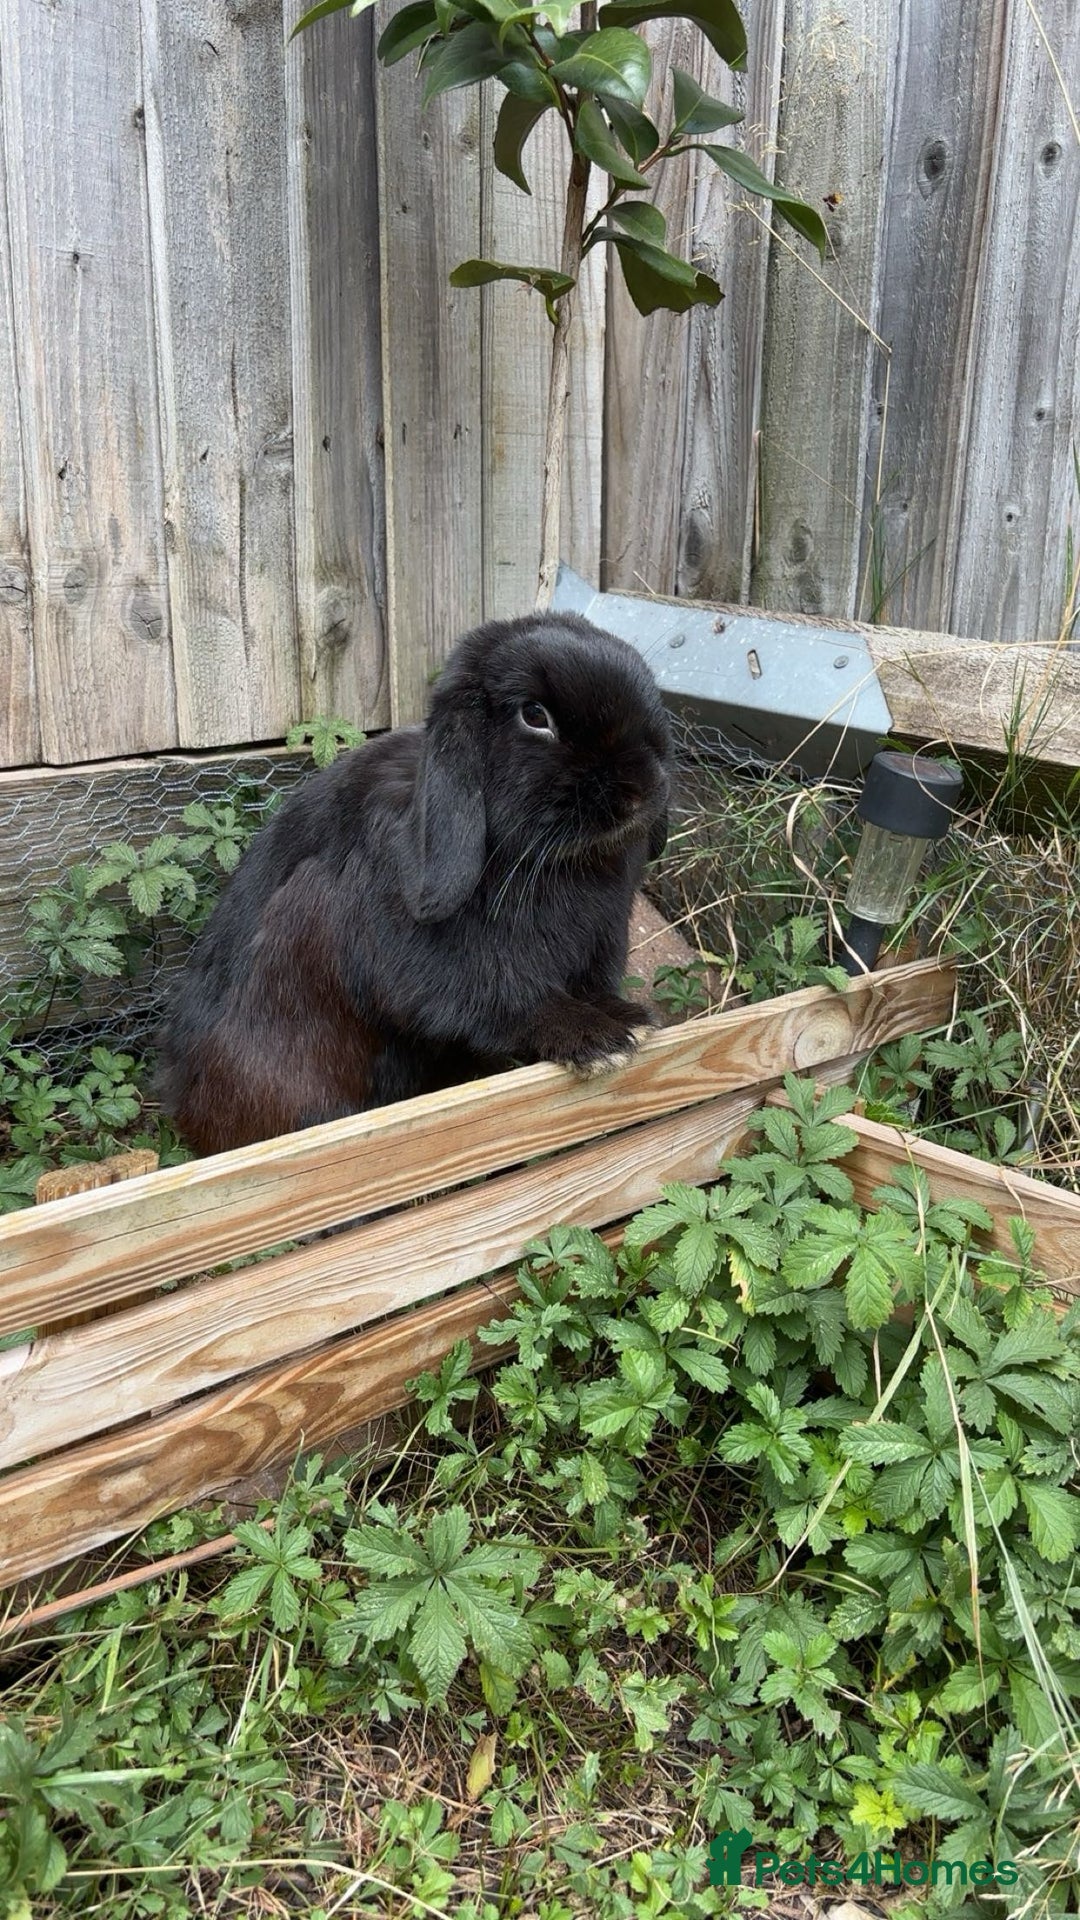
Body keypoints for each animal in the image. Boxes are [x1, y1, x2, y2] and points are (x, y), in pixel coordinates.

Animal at [156, 610, 673, 1156]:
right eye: (535, 716)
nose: (638, 792)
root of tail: (177, 1095)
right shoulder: (436, 963)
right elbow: (507, 1001)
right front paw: (598, 1039)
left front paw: (629, 1018)